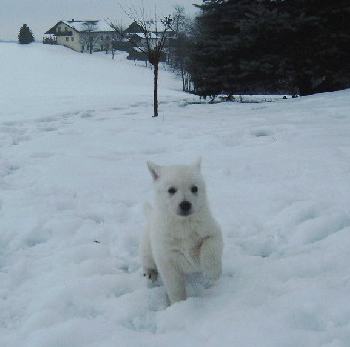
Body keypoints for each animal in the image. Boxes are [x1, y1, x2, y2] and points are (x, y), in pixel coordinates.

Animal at [141, 160, 223, 304]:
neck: (183, 224)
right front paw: (179, 303)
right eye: (171, 190)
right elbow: (174, 284)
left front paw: (213, 273)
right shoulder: (165, 255)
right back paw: (150, 273)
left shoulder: (211, 230)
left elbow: (210, 246)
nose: (185, 204)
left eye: (194, 188)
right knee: (147, 260)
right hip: (147, 246)